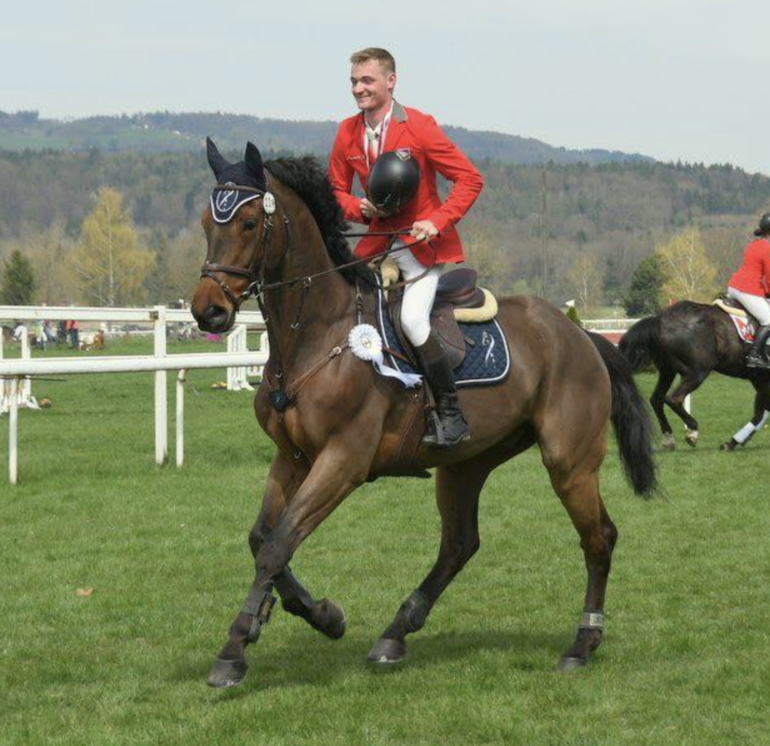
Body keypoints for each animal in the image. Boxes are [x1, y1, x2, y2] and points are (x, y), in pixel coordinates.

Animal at [189, 140, 652, 684]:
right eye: (207, 222)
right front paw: (321, 615)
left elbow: (280, 543)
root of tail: (579, 334)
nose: (208, 311)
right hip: (466, 462)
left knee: (599, 538)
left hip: (569, 462)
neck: (316, 336)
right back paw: (395, 632)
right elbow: (262, 538)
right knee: (459, 544)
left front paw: (236, 648)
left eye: (246, 223)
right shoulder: (293, 457)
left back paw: (583, 642)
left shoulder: (343, 460)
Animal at [616, 300, 768, 450]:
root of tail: (660, 320)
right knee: (673, 399)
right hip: (697, 372)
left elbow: (761, 414)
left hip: (667, 371)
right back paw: (692, 430)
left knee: (656, 399)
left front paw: (733, 442)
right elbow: (761, 414)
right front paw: (733, 442)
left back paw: (668, 438)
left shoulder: (760, 380)